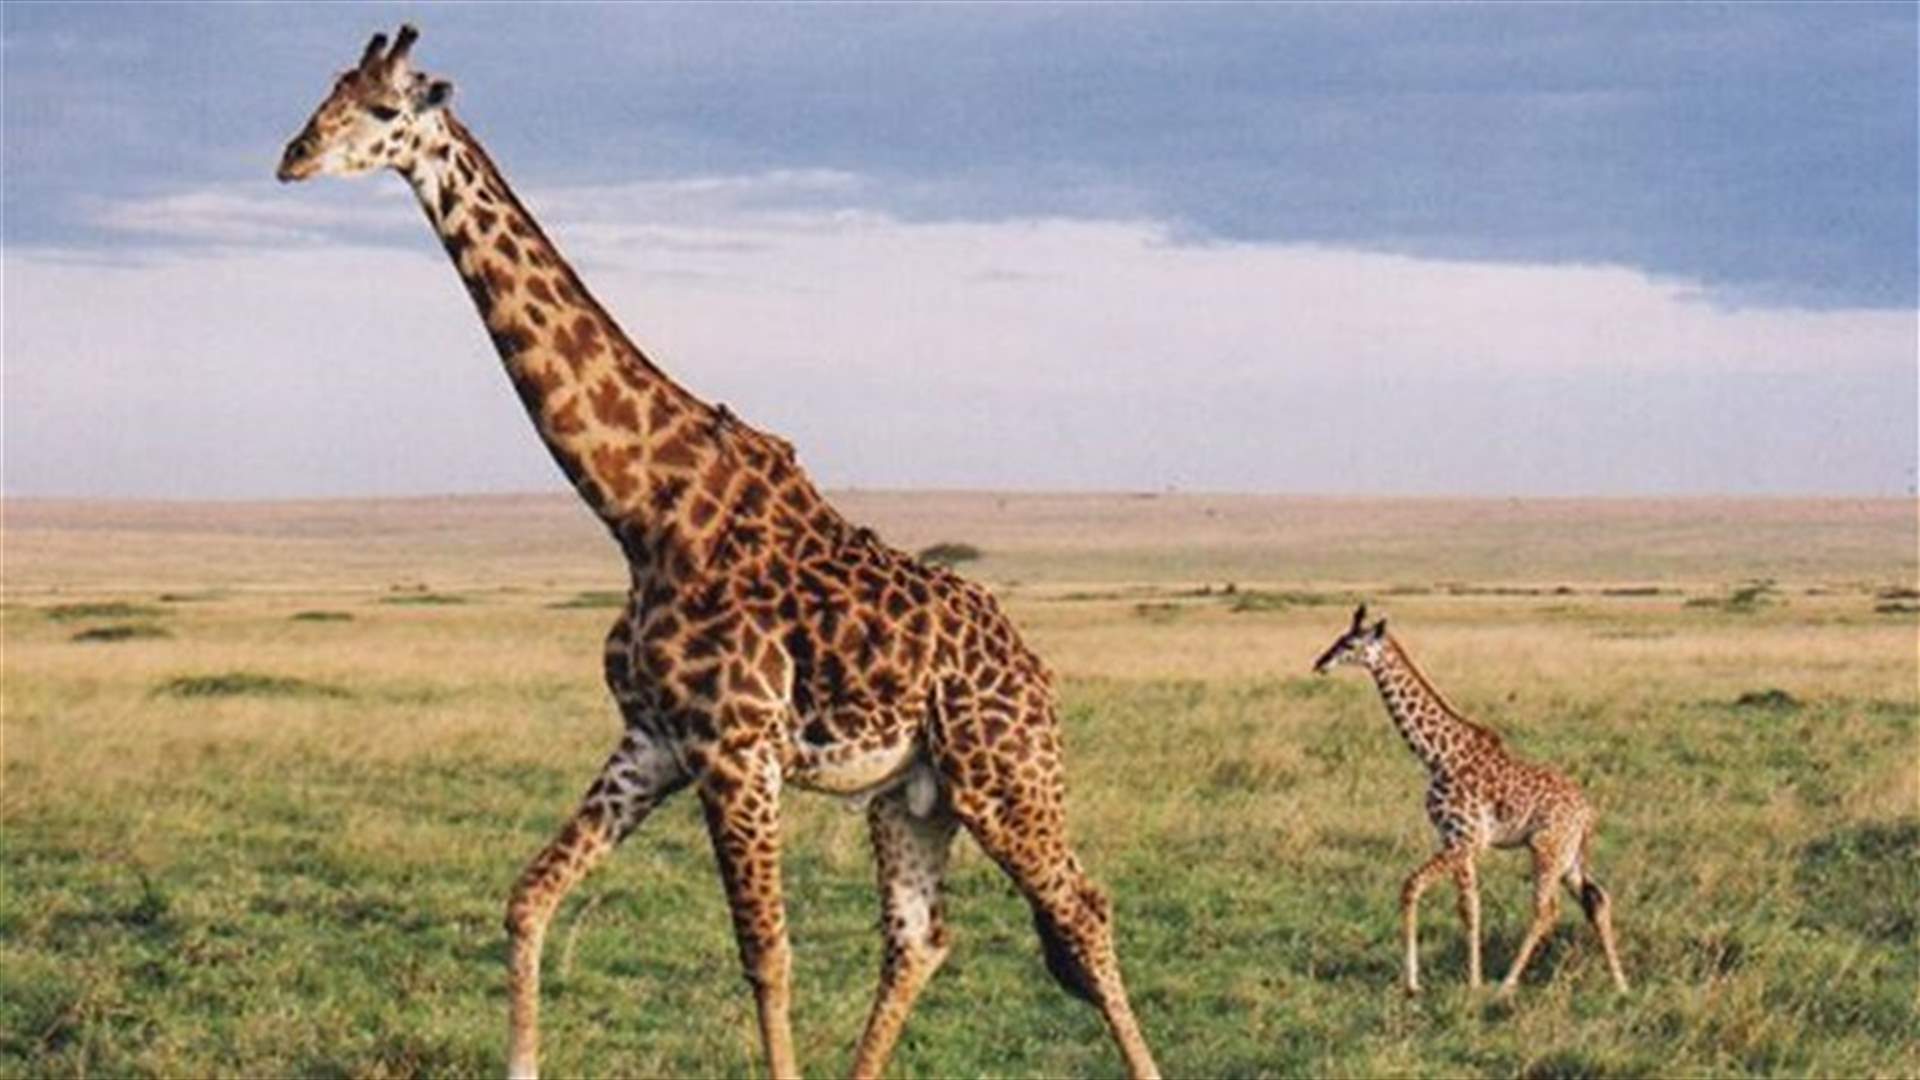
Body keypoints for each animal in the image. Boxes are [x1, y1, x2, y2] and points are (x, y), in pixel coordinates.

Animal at [277, 26, 1158, 1080]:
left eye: (382, 110)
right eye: (328, 91)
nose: (292, 157)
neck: (639, 510)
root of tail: (1035, 669)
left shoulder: (736, 752)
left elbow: (765, 957)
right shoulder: (654, 741)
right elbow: (529, 897)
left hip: (1004, 772)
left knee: (1084, 909)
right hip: (911, 799)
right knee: (920, 939)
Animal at [1311, 605, 1628, 996]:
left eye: (1351, 643)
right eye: (1339, 638)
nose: (1320, 663)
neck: (1437, 755)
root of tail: (1588, 813)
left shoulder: (1464, 839)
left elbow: (1413, 885)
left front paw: (1415, 983)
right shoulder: (1457, 841)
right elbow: (1470, 907)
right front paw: (1472, 980)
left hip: (1546, 848)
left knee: (1546, 909)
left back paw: (1507, 983)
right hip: (1569, 857)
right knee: (1597, 899)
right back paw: (1621, 984)